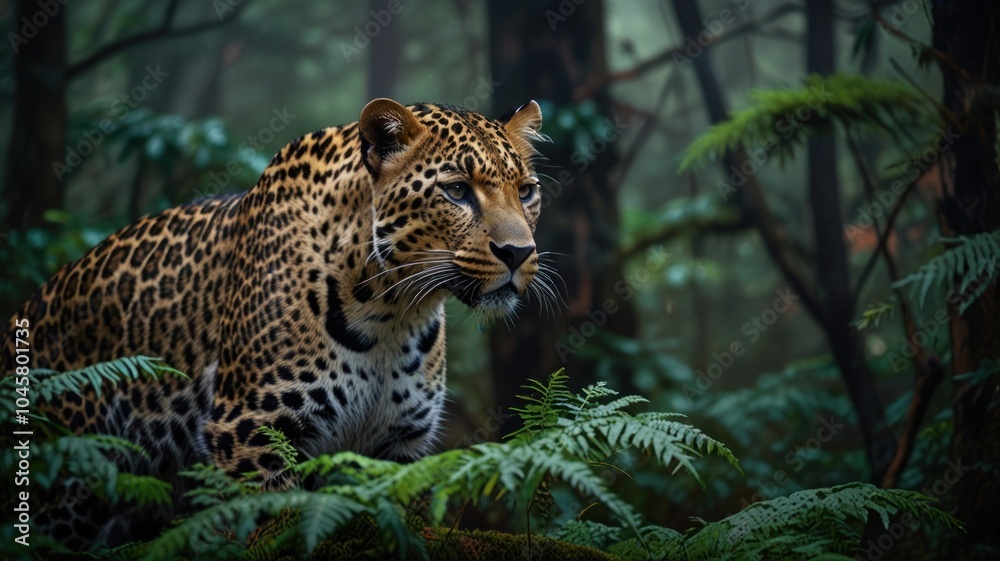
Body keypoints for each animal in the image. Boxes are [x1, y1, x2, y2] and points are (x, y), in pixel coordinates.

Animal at [0, 98, 556, 548]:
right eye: (457, 191)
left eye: (527, 192)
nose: (518, 253)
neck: (393, 313)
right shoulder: (252, 434)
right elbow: (273, 523)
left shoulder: (396, 447)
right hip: (69, 481)